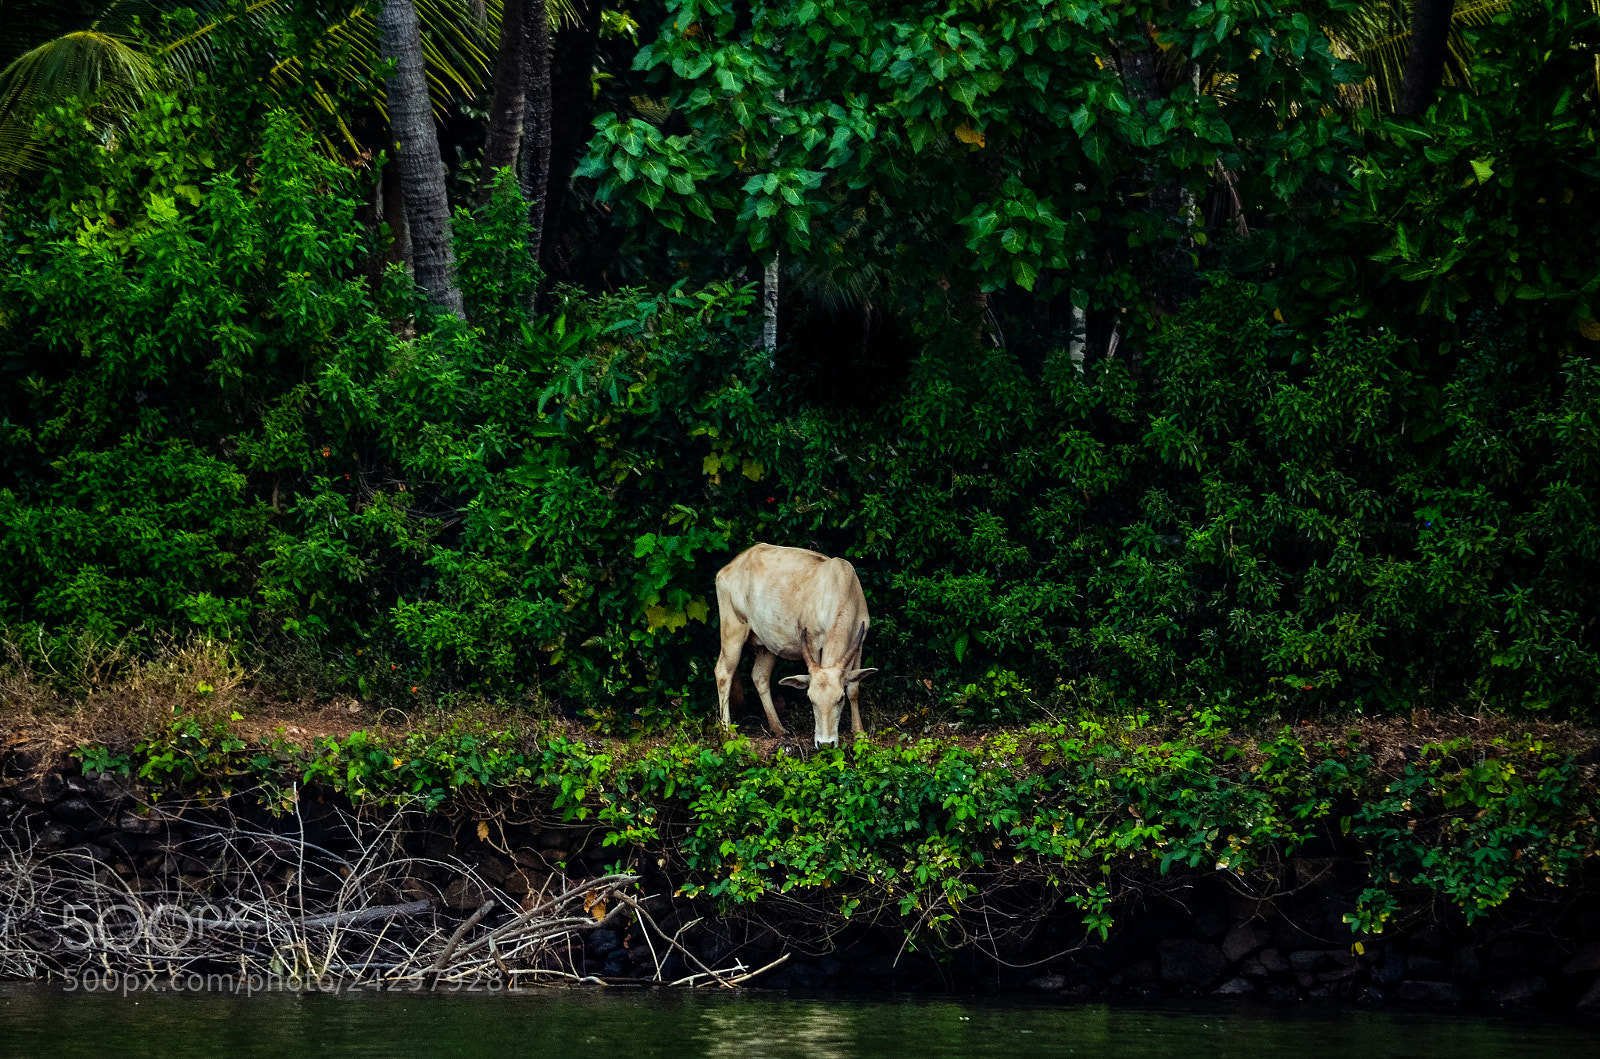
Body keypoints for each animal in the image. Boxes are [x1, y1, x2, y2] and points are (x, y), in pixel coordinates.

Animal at [713, 543, 877, 745]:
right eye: (811, 698)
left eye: (840, 698)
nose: (825, 743)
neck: (842, 587)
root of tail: (726, 569)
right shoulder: (813, 642)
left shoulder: (860, 641)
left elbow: (854, 688)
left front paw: (859, 732)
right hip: (733, 630)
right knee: (723, 672)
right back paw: (728, 732)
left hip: (767, 646)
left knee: (759, 676)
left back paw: (778, 728)